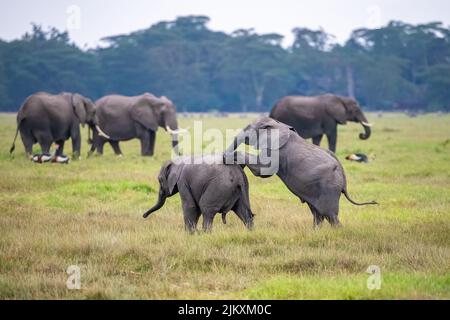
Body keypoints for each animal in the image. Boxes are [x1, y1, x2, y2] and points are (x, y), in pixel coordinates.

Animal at [224, 117, 376, 228]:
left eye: (248, 129)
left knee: (330, 215)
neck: (277, 124)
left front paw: (231, 157)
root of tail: (344, 182)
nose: (224, 155)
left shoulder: (277, 150)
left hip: (330, 187)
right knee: (317, 214)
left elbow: (264, 170)